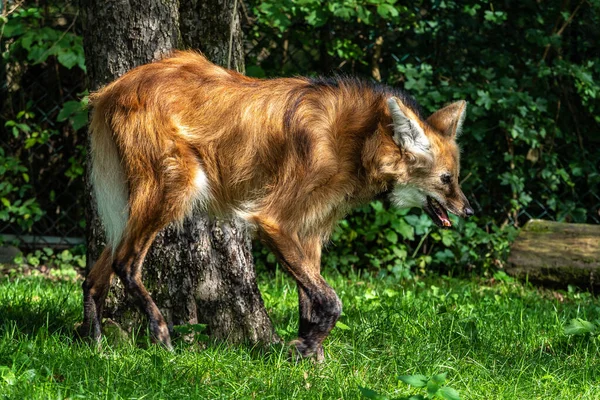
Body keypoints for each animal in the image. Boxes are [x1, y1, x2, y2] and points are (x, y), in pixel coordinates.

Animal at [79, 51, 474, 360]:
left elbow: (311, 302)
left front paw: (312, 360)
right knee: (125, 262)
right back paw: (161, 336)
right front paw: (304, 351)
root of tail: (112, 89)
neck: (360, 142)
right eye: (447, 179)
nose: (469, 210)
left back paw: (95, 343)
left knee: (96, 274)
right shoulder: (272, 220)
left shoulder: (310, 229)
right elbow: (331, 300)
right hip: (178, 186)